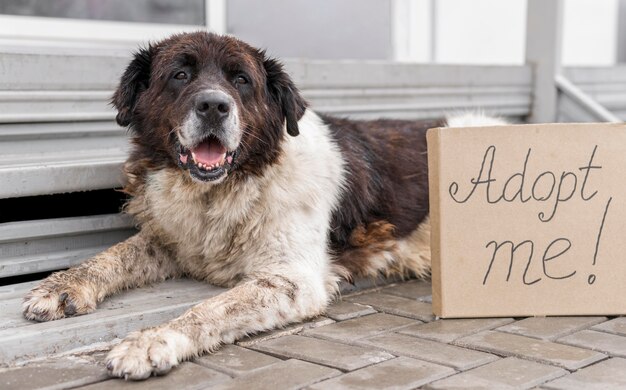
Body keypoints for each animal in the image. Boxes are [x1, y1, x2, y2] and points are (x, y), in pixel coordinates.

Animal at [22, 32, 504, 380]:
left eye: (241, 81)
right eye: (180, 75)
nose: (213, 105)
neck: (225, 191)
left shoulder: (291, 279)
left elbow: (210, 309)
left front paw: (152, 341)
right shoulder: (174, 240)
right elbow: (112, 255)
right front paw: (62, 286)